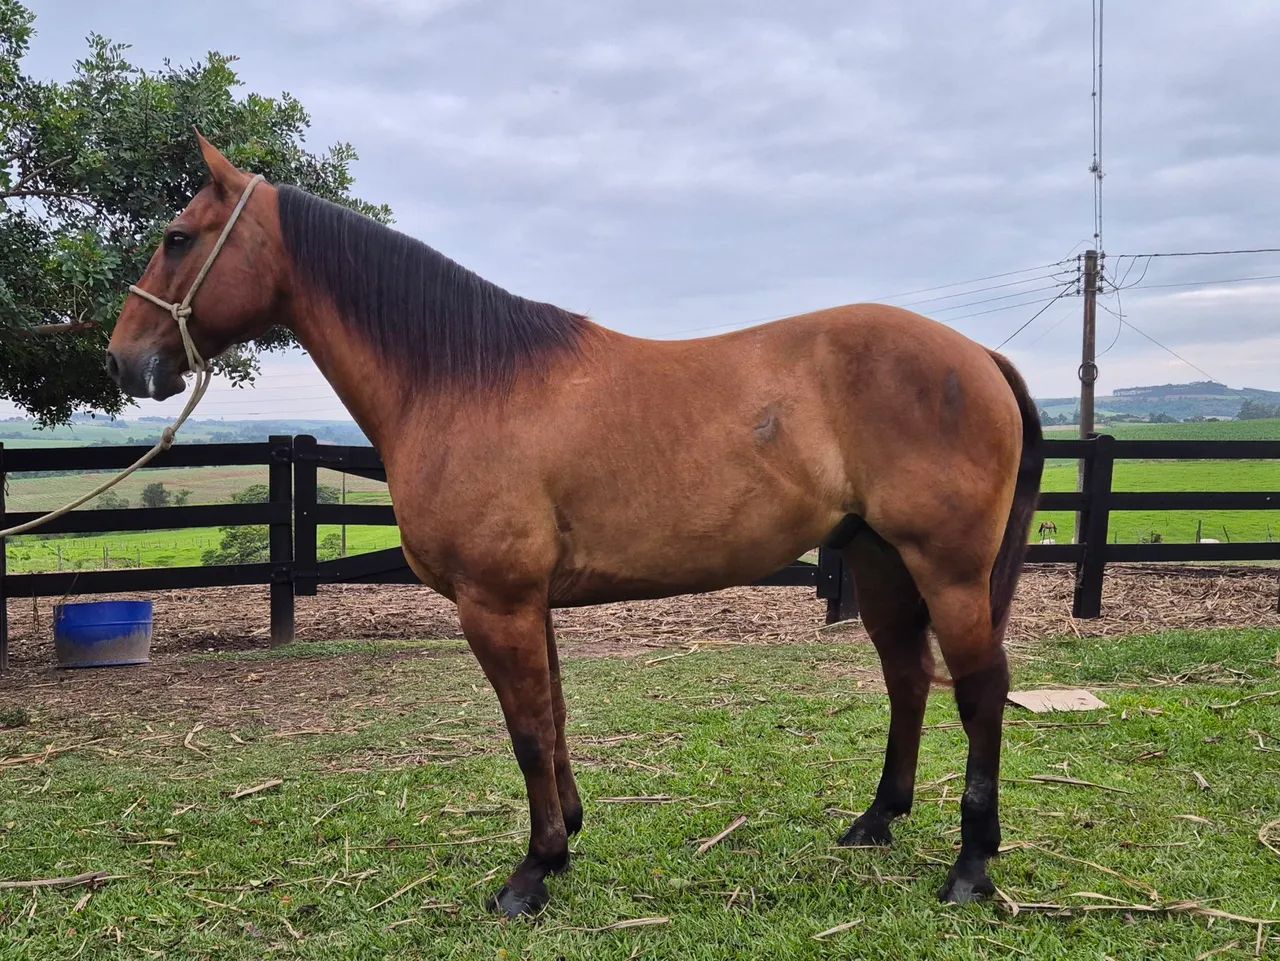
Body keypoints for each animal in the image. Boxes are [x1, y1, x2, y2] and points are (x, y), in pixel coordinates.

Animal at [107, 136, 1044, 917]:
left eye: (179, 238)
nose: (123, 359)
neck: (463, 381)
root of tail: (978, 356)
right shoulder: (531, 603)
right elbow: (552, 716)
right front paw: (566, 839)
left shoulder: (497, 603)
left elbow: (526, 730)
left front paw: (532, 872)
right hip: (881, 563)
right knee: (908, 677)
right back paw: (876, 820)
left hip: (948, 570)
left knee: (980, 689)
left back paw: (971, 866)